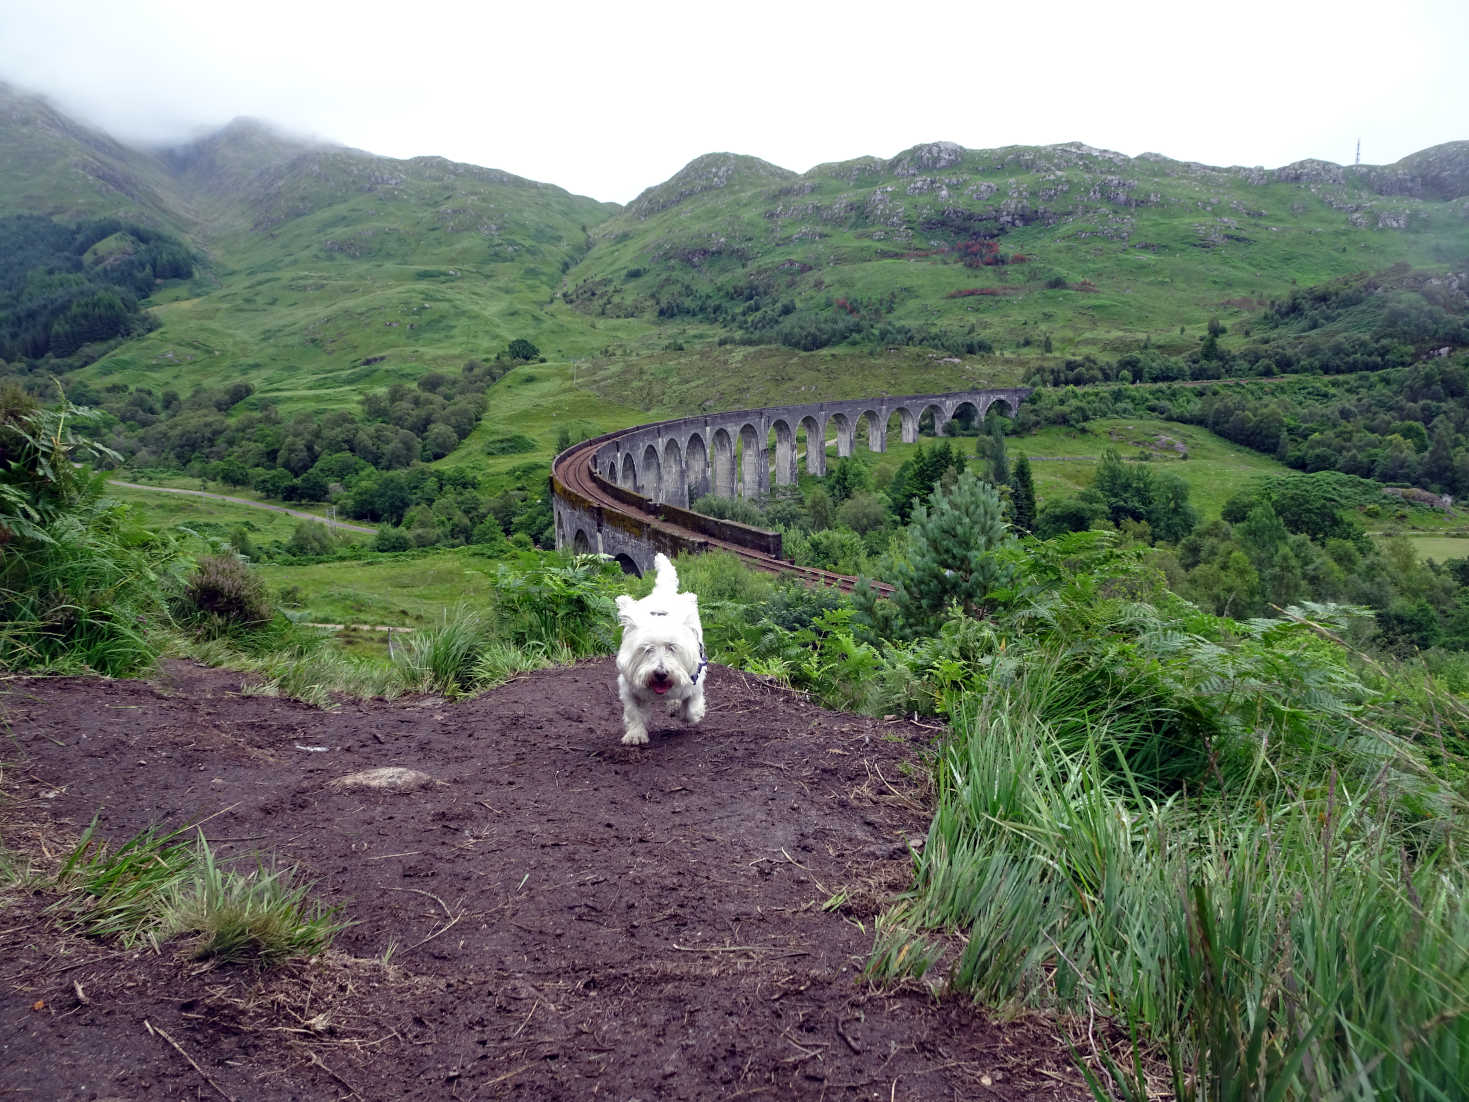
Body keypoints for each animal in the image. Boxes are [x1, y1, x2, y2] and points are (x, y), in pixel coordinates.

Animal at [614, 552, 705, 752]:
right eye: (647, 649)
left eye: (672, 647)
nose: (661, 673)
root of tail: (663, 594)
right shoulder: (628, 686)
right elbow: (633, 712)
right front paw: (635, 735)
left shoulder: (696, 681)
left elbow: (691, 708)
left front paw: (688, 713)